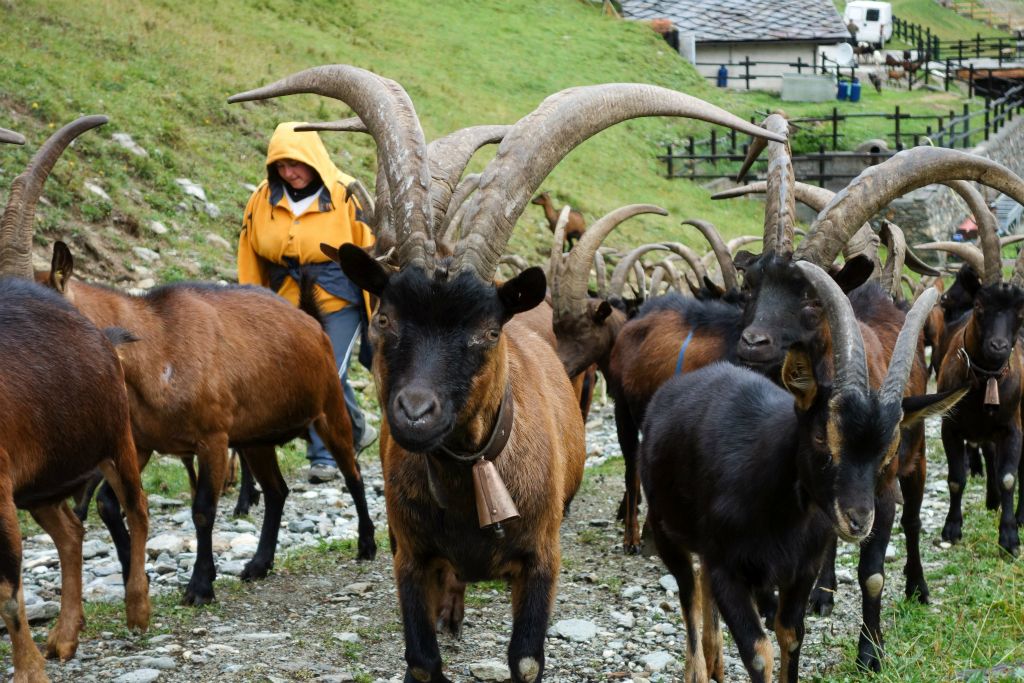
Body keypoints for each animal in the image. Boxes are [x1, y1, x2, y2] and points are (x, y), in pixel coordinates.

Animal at [226, 61, 782, 679]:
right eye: (385, 318)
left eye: (488, 331)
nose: (414, 413)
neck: (471, 481)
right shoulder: (410, 557)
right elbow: (422, 658)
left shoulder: (541, 560)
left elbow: (527, 659)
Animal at [638, 264, 950, 683]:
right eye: (821, 435)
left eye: (887, 451)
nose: (858, 520)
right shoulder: (727, 569)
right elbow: (758, 652)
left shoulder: (801, 571)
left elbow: (791, 634)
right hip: (665, 527)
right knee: (688, 595)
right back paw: (700, 669)